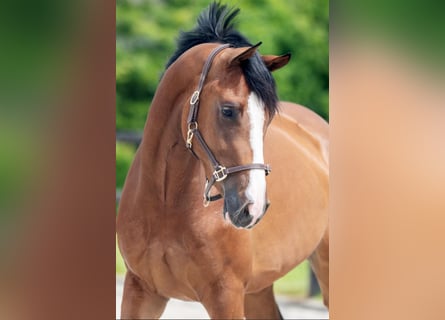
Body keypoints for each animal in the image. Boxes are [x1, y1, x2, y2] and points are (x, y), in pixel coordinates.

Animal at [116, 3, 328, 320]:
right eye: (228, 110)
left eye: (268, 117)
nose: (253, 208)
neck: (166, 205)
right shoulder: (140, 290)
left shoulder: (225, 296)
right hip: (257, 290)